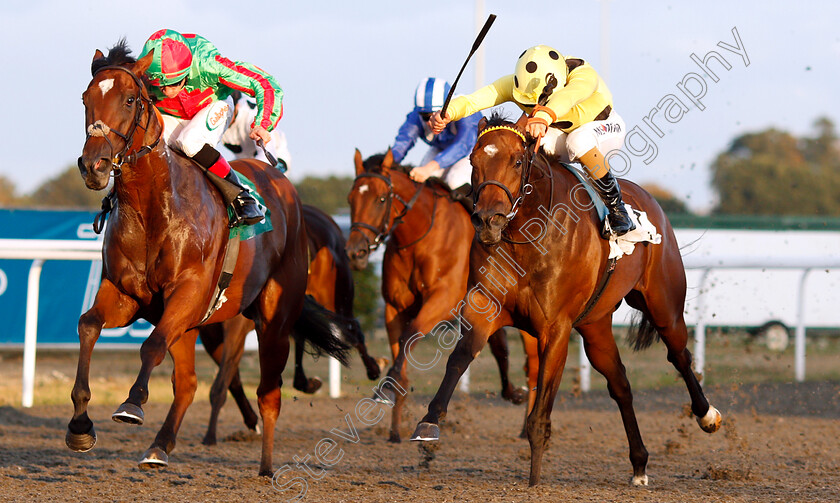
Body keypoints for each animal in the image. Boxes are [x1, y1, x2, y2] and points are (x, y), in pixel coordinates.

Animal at [67, 40, 350, 476]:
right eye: (86, 99)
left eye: (130, 99)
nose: (93, 165)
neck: (154, 209)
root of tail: (279, 179)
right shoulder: (126, 294)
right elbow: (88, 326)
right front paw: (81, 425)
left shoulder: (189, 292)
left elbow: (151, 346)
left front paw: (132, 404)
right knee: (188, 383)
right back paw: (159, 447)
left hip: (273, 318)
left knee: (269, 393)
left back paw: (266, 467)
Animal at [197, 205, 380, 444]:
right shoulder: (210, 334)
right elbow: (231, 380)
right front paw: (251, 421)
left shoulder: (235, 328)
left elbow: (222, 383)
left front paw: (210, 435)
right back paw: (306, 382)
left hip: (337, 297)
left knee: (353, 327)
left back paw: (374, 368)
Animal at [346, 149, 540, 440]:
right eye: (351, 199)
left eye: (381, 199)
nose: (355, 252)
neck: (417, 238)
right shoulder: (393, 308)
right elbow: (400, 352)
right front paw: (394, 428)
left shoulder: (442, 301)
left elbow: (410, 334)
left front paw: (386, 390)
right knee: (501, 348)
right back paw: (513, 395)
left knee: (534, 365)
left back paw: (526, 427)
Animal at [414, 112, 720, 486]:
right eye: (473, 161)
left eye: (517, 161)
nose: (488, 220)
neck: (527, 233)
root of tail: (652, 202)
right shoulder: (484, 310)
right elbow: (459, 358)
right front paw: (429, 421)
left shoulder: (555, 328)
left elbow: (542, 402)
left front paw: (534, 478)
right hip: (595, 326)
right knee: (620, 383)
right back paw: (639, 464)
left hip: (665, 305)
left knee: (679, 356)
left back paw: (707, 415)